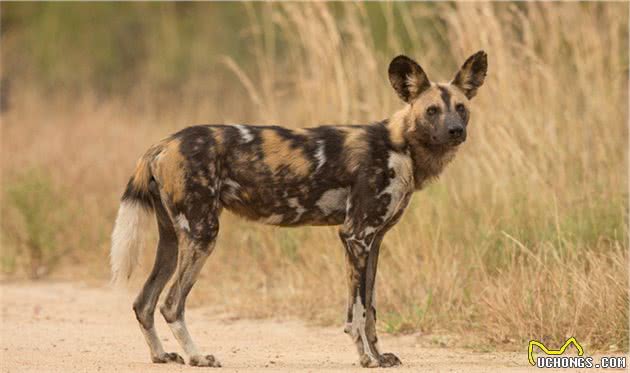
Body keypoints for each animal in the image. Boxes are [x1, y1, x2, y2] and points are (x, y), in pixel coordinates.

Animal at [111, 51, 488, 366]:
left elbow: (372, 309)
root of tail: (162, 144)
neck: (401, 146)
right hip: (203, 236)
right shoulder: (356, 237)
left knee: (144, 302)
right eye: (431, 111)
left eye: (461, 108)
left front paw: (380, 357)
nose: (456, 131)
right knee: (171, 304)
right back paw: (198, 357)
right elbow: (357, 313)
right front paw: (366, 359)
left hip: (173, 240)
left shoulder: (374, 241)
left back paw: (161, 355)